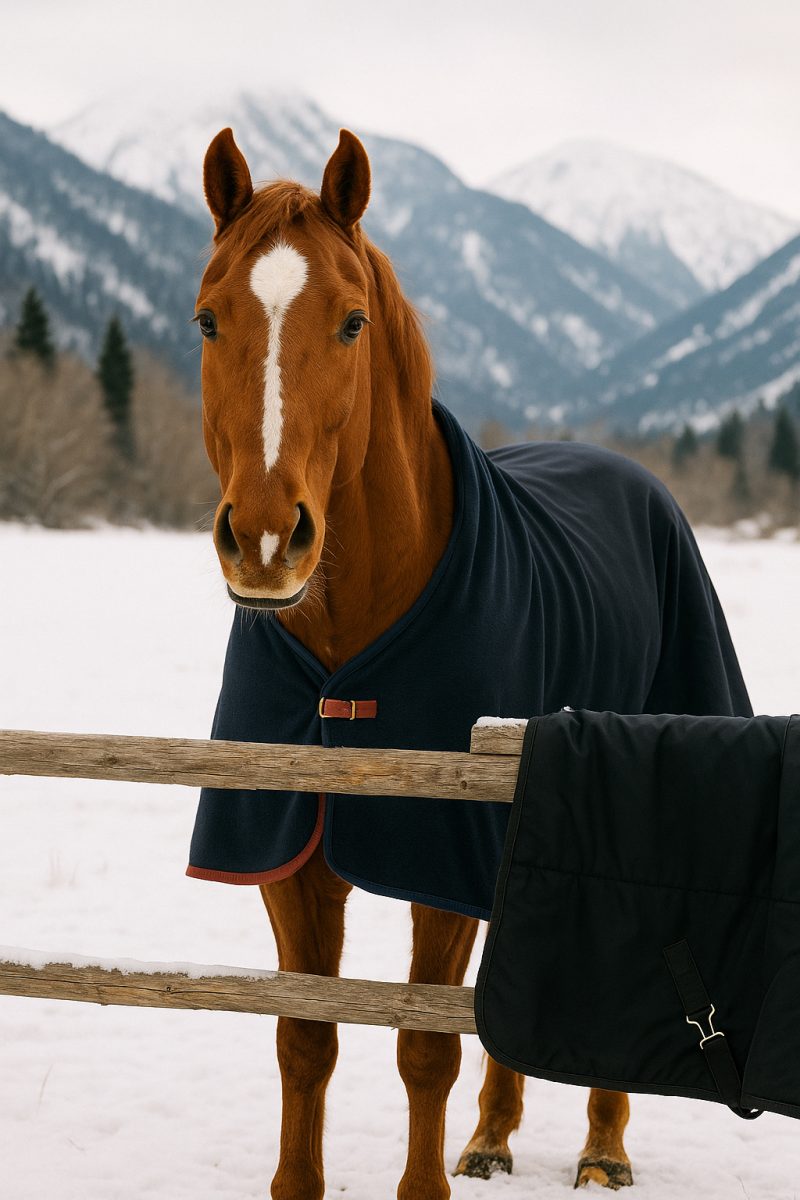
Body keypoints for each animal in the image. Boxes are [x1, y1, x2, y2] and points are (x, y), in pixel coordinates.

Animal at [191, 125, 750, 1199]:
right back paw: (493, 1135)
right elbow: (305, 1040)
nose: (269, 542)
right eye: (206, 320)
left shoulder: (437, 856)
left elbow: (423, 1046)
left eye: (353, 323)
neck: (345, 654)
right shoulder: (291, 860)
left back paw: (604, 1147)